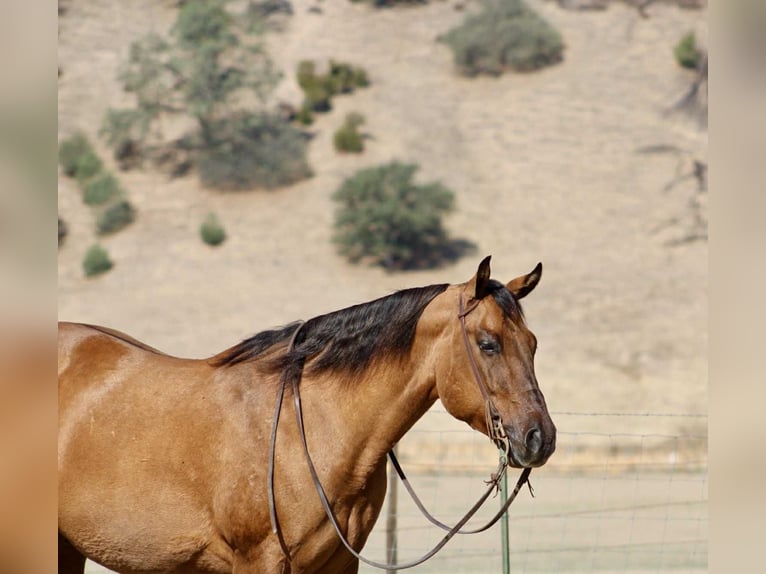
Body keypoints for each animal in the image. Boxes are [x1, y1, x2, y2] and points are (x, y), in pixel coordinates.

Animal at [58, 256, 556, 574]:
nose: (540, 438)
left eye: (533, 343)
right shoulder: (259, 562)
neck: (315, 431)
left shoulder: (340, 564)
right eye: (488, 343)